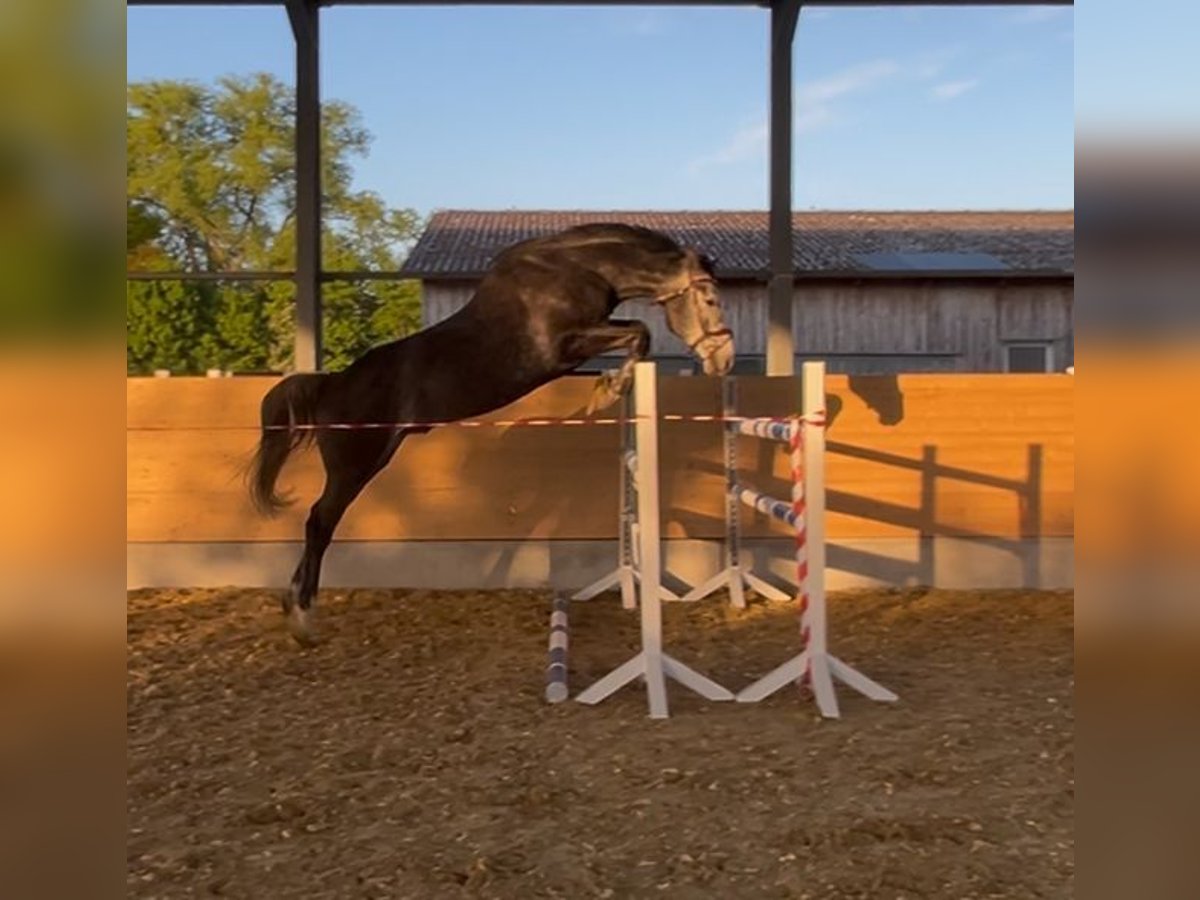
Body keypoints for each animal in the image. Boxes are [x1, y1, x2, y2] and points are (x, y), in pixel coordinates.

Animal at [247, 222, 735, 644]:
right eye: (711, 300)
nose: (724, 358)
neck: (577, 270)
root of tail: (332, 383)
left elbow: (635, 335)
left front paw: (609, 387)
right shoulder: (564, 348)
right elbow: (640, 332)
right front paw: (609, 390)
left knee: (318, 524)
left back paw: (292, 605)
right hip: (356, 466)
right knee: (319, 522)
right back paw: (303, 617)